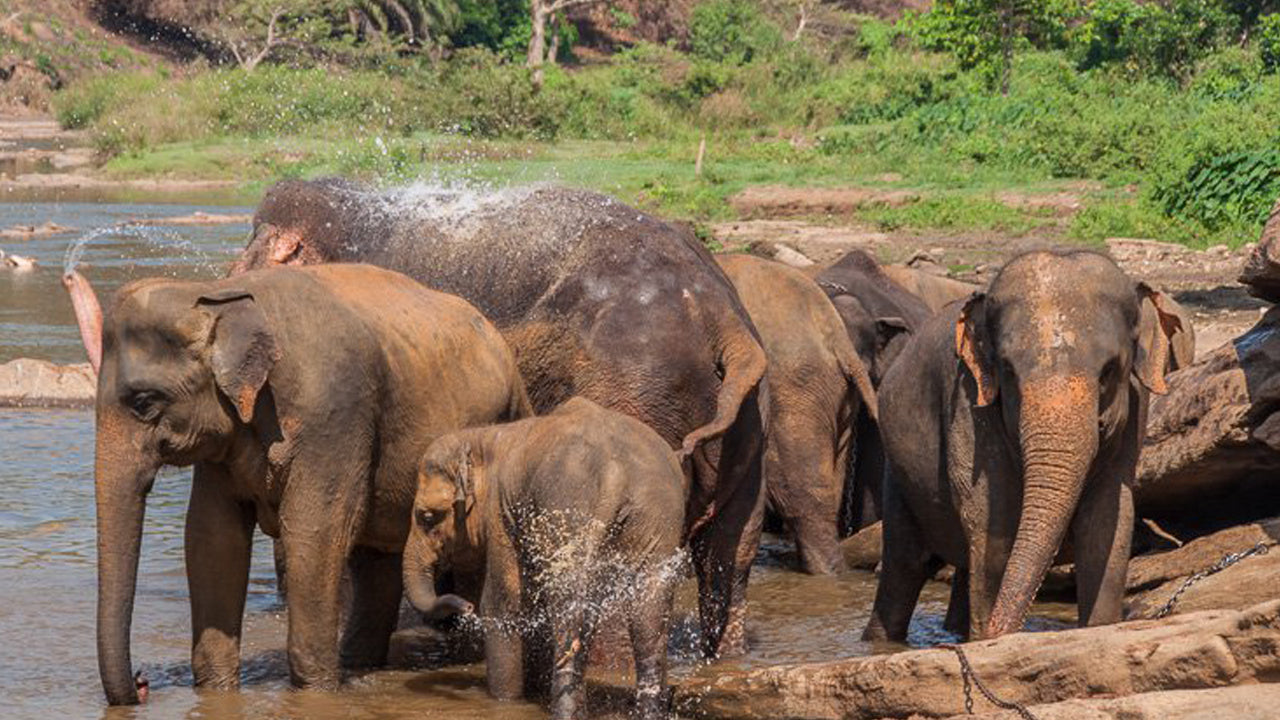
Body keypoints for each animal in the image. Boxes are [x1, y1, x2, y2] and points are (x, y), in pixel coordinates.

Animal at [68, 262, 529, 702]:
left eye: (144, 403)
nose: (142, 682)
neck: (215, 293)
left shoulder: (333, 413)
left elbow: (315, 533)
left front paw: (316, 691)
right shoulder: (227, 436)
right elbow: (212, 538)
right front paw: (215, 690)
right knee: (376, 560)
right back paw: (359, 664)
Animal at [407, 394, 691, 717]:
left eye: (427, 517)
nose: (465, 607)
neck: (483, 438)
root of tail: (614, 475)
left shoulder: (501, 514)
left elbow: (502, 603)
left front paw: (506, 701)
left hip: (566, 509)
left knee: (567, 606)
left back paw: (565, 711)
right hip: (657, 515)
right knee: (647, 613)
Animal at [865, 248, 1182, 638]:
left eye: (1109, 371)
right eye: (1008, 370)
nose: (997, 629)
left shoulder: (1136, 411)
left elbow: (1109, 523)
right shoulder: (969, 405)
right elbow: (991, 522)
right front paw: (987, 640)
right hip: (898, 476)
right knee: (904, 566)